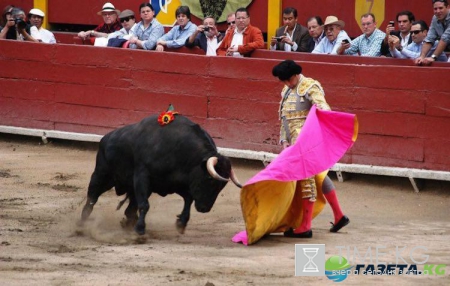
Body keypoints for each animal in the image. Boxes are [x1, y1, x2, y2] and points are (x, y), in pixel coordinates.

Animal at [81, 114, 243, 235]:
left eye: (222, 186)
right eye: (210, 179)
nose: (205, 209)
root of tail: (105, 138)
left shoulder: (177, 182)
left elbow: (188, 199)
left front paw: (181, 223)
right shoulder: (142, 176)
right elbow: (145, 205)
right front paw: (140, 230)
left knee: (129, 208)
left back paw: (127, 222)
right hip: (101, 176)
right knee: (92, 198)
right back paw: (81, 224)